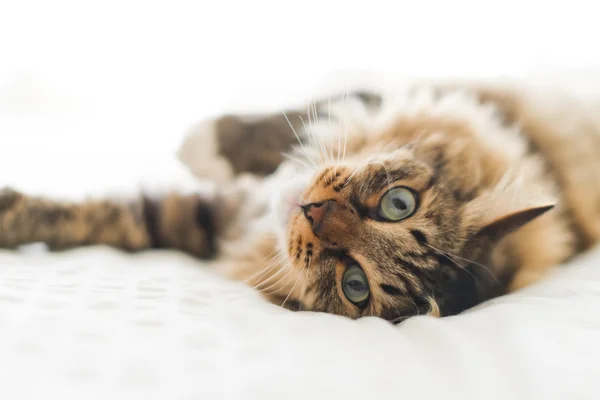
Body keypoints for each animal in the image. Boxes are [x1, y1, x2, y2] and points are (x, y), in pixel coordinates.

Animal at [1, 80, 600, 322]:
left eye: (355, 285)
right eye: (398, 204)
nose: (315, 213)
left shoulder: (205, 228)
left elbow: (128, 220)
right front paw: (208, 144)